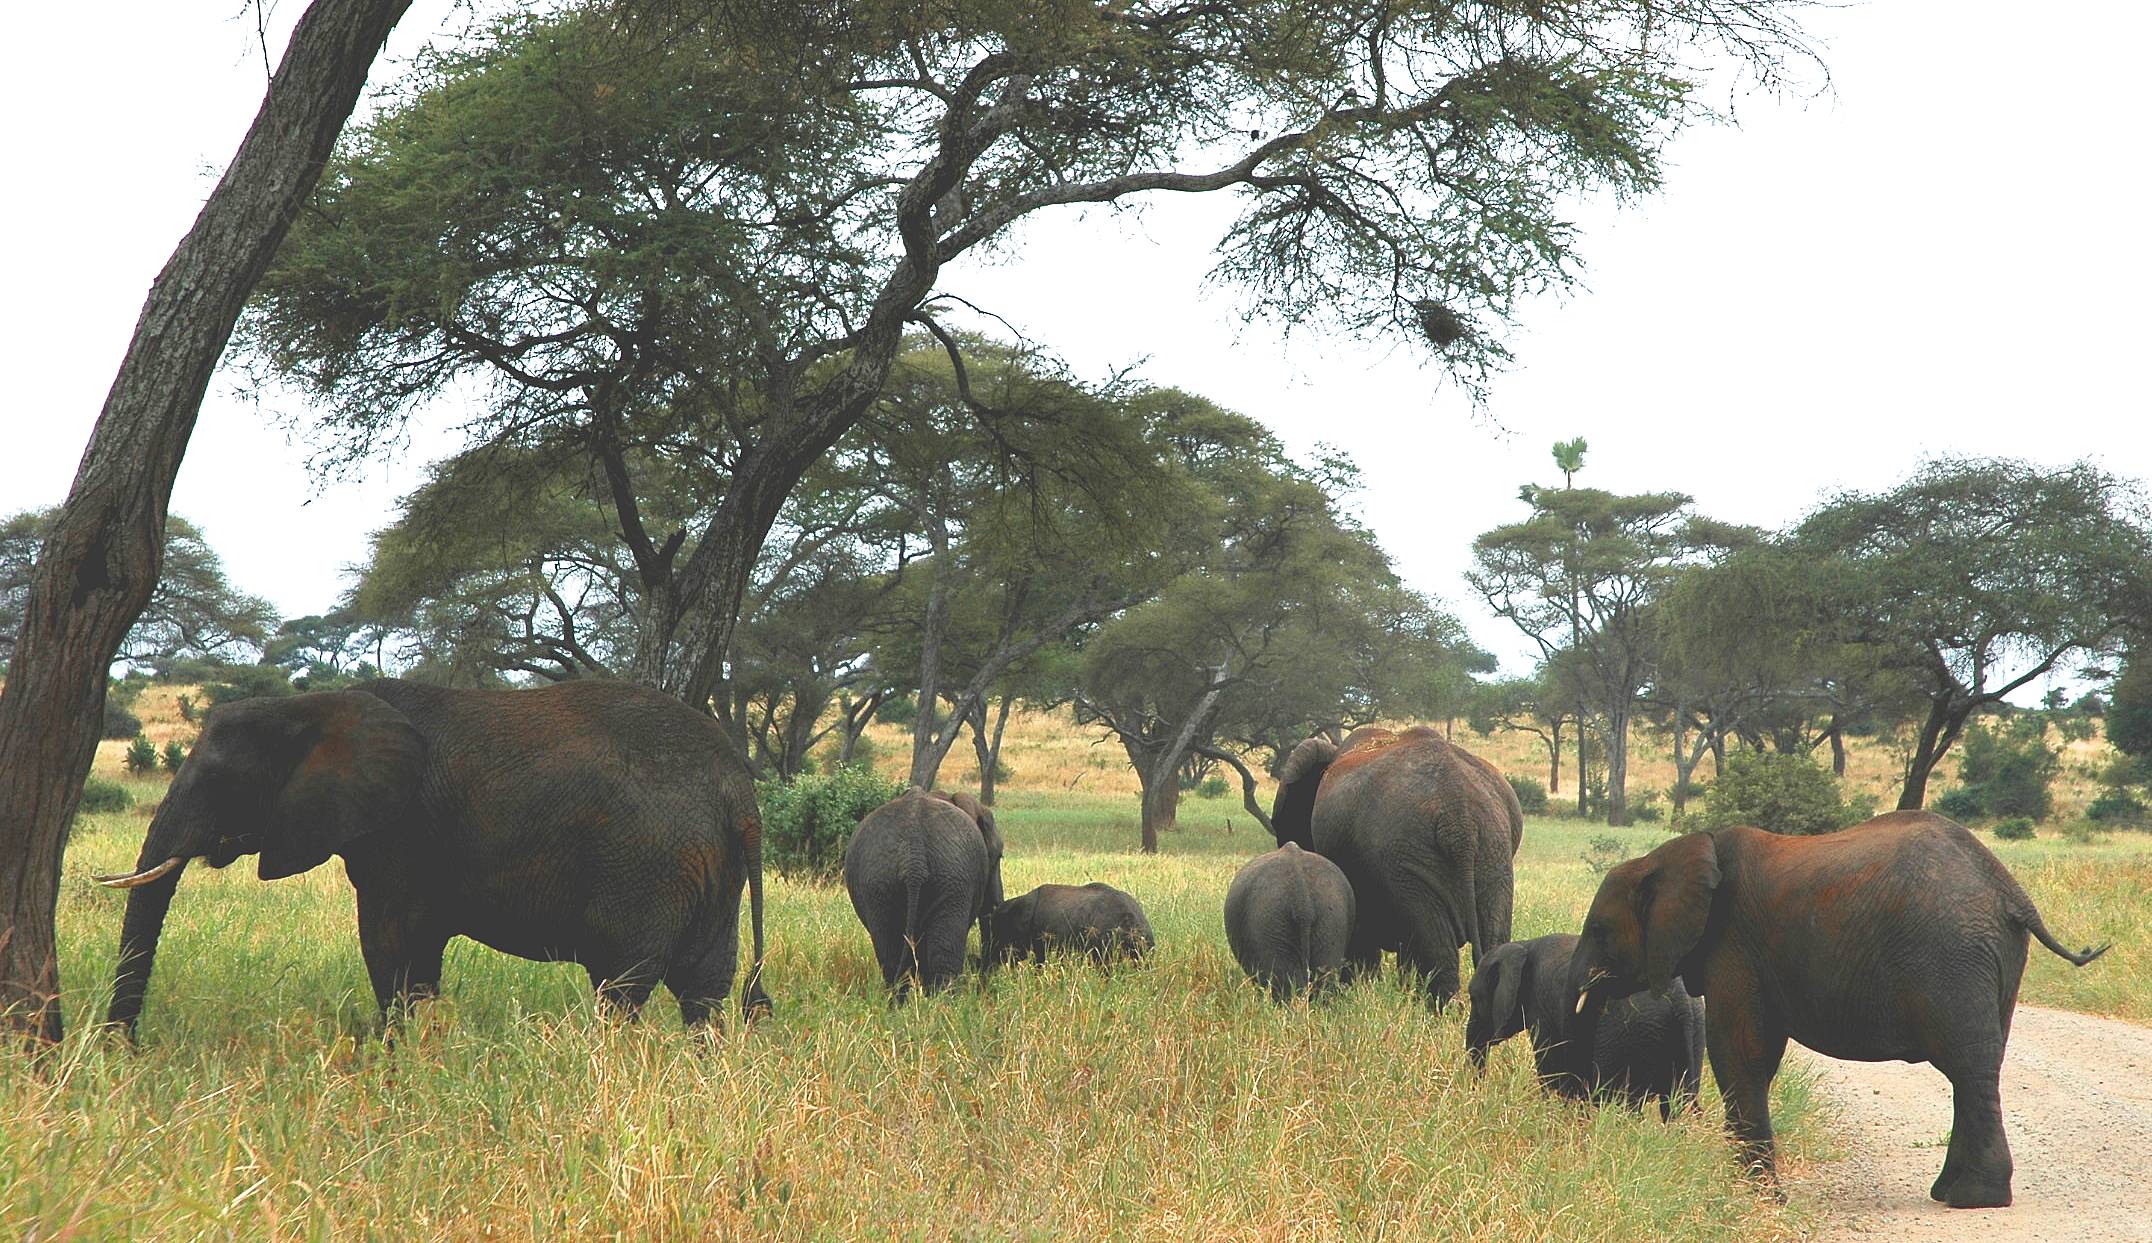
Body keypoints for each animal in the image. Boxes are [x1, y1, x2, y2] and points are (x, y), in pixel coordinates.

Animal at [97, 678, 770, 1035]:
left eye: (220, 779)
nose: (125, 1051)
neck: (316, 705)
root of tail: (739, 790)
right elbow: (412, 956)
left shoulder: (400, 835)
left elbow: (389, 946)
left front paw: (392, 1057)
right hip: (709, 869)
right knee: (704, 988)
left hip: (647, 863)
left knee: (622, 986)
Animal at [843, 787, 1004, 998]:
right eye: (999, 856)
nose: (983, 988)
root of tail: (914, 854)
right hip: (951, 878)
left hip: (879, 883)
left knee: (891, 957)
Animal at [1465, 933, 1703, 1120]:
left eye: (1473, 998)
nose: (1477, 1096)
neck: (1523, 945)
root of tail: (1682, 1003)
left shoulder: (1541, 1006)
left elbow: (1550, 1070)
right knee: (1673, 1106)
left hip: (1630, 1034)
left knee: (1620, 1101)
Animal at [1568, 810, 2108, 1207]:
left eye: (1598, 930)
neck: (1668, 856)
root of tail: (2009, 889)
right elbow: (1757, 1055)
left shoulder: (1733, 946)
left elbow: (1739, 1051)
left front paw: (1757, 1196)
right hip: (1993, 959)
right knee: (1975, 1063)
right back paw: (1950, 1193)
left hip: (1951, 955)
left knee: (1969, 1063)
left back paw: (1975, 1199)